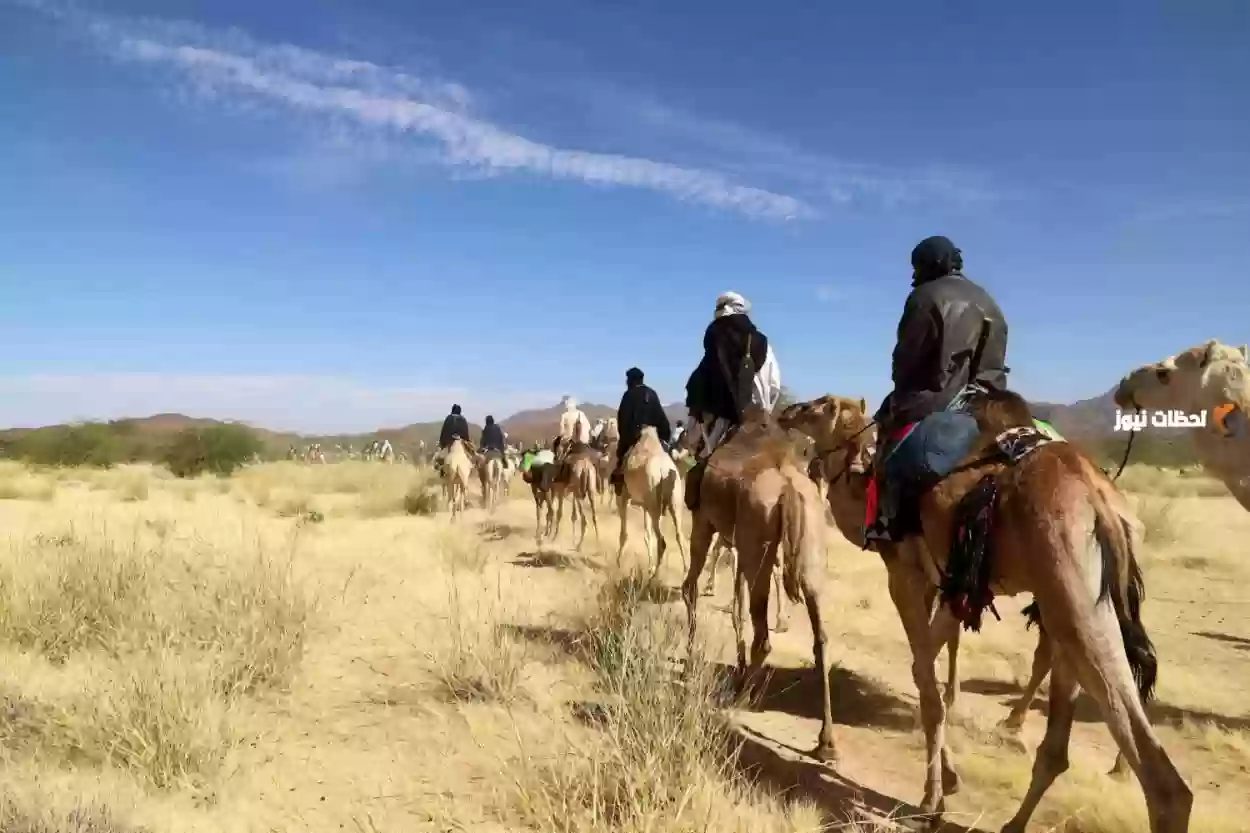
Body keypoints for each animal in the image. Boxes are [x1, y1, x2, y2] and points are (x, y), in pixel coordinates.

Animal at [620, 425, 690, 575]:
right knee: (679, 535)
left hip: (654, 503)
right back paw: (685, 573)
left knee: (662, 541)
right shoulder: (645, 504)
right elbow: (647, 535)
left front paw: (618, 563)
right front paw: (650, 567)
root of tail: (665, 471)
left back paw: (655, 576)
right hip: (673, 501)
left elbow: (625, 532)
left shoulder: (625, 495)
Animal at [680, 410, 835, 760]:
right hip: (810, 550)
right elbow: (736, 606)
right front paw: (736, 667)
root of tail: (788, 489)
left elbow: (691, 588)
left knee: (762, 636)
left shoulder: (705, 522)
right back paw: (827, 742)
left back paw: (743, 698)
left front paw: (690, 661)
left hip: (757, 542)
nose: (681, 437)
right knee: (820, 639)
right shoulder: (738, 543)